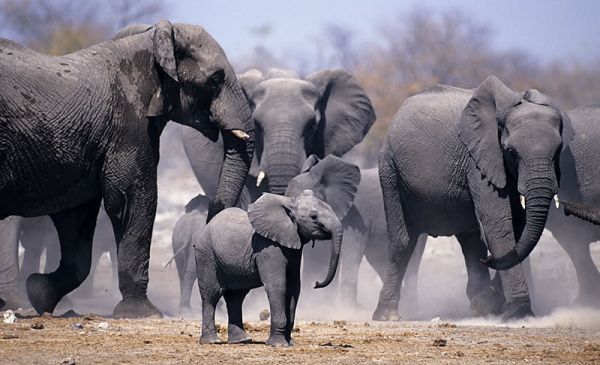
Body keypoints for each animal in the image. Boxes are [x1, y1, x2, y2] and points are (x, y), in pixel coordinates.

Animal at [0, 19, 253, 316]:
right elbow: (132, 200)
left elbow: (76, 218)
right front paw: (142, 312)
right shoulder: (128, 125)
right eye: (215, 80)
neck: (150, 41)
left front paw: (39, 292)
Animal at [376, 75, 572, 320]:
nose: (489, 261)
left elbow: (517, 223)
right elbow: (498, 222)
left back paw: (483, 307)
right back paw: (386, 315)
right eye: (511, 152)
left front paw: (499, 304)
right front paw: (520, 313)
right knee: (404, 240)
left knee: (470, 240)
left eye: (558, 151)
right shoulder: (478, 159)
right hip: (390, 169)